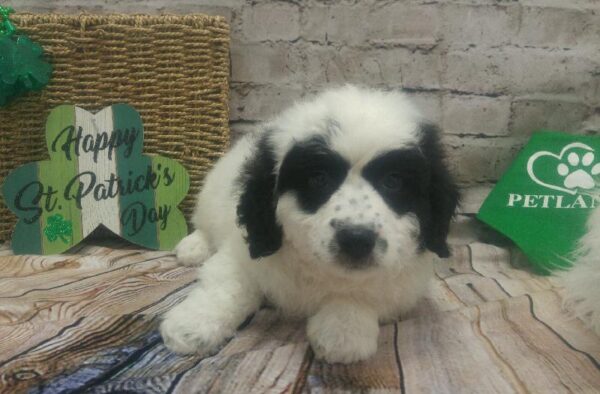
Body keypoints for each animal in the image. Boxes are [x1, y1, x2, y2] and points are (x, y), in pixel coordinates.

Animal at [159, 84, 460, 362]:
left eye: (393, 181)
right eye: (318, 179)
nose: (356, 239)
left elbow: (361, 294)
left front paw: (343, 332)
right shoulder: (242, 253)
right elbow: (227, 285)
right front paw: (192, 325)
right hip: (212, 196)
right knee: (204, 224)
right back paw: (193, 247)